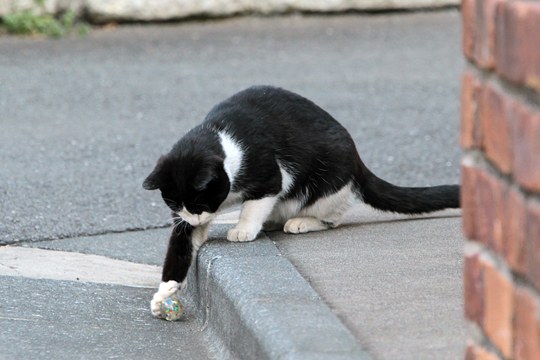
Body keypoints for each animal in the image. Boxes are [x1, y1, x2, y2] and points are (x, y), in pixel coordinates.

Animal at [141, 85, 458, 318]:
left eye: (198, 203)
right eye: (175, 205)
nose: (194, 218)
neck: (222, 139)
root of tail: (358, 161)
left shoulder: (270, 175)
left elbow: (256, 202)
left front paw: (243, 228)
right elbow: (180, 246)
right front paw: (164, 292)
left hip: (328, 180)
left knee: (332, 215)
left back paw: (301, 222)